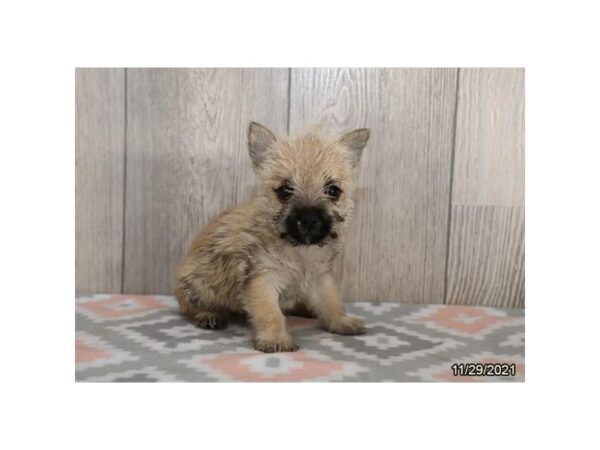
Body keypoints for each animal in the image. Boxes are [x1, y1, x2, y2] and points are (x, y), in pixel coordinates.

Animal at [175, 122, 370, 352]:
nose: (309, 219)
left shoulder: (321, 278)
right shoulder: (263, 280)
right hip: (196, 288)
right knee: (192, 307)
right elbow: (271, 313)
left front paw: (341, 321)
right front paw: (275, 339)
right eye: (284, 190)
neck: (299, 249)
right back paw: (208, 315)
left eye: (333, 191)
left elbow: (332, 302)